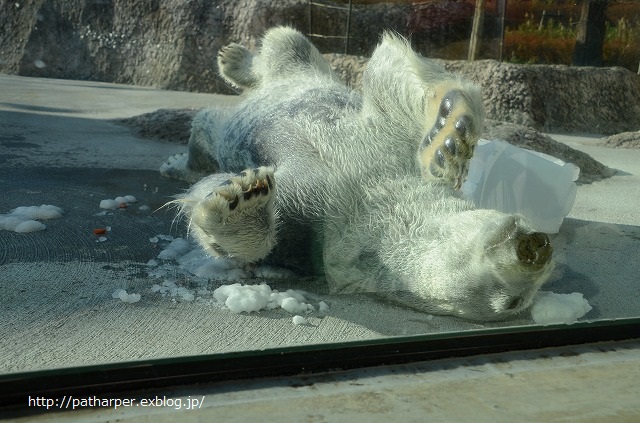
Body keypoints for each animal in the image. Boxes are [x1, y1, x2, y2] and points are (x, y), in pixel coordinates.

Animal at [161, 26, 556, 322]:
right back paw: (233, 60)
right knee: (287, 45)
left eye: (515, 303)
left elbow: (253, 242)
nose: (537, 246)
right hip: (301, 70)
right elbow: (390, 82)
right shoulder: (384, 150)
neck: (378, 201)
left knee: (209, 124)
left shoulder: (318, 240)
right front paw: (451, 133)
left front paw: (241, 197)